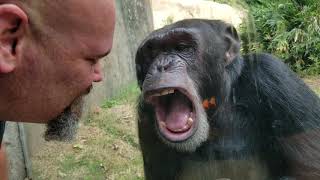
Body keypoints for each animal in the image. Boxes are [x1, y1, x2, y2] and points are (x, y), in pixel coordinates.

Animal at [134, 19, 320, 179]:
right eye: (151, 54)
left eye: (181, 47)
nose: (161, 66)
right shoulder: (144, 115)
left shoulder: (276, 77)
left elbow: (310, 170)